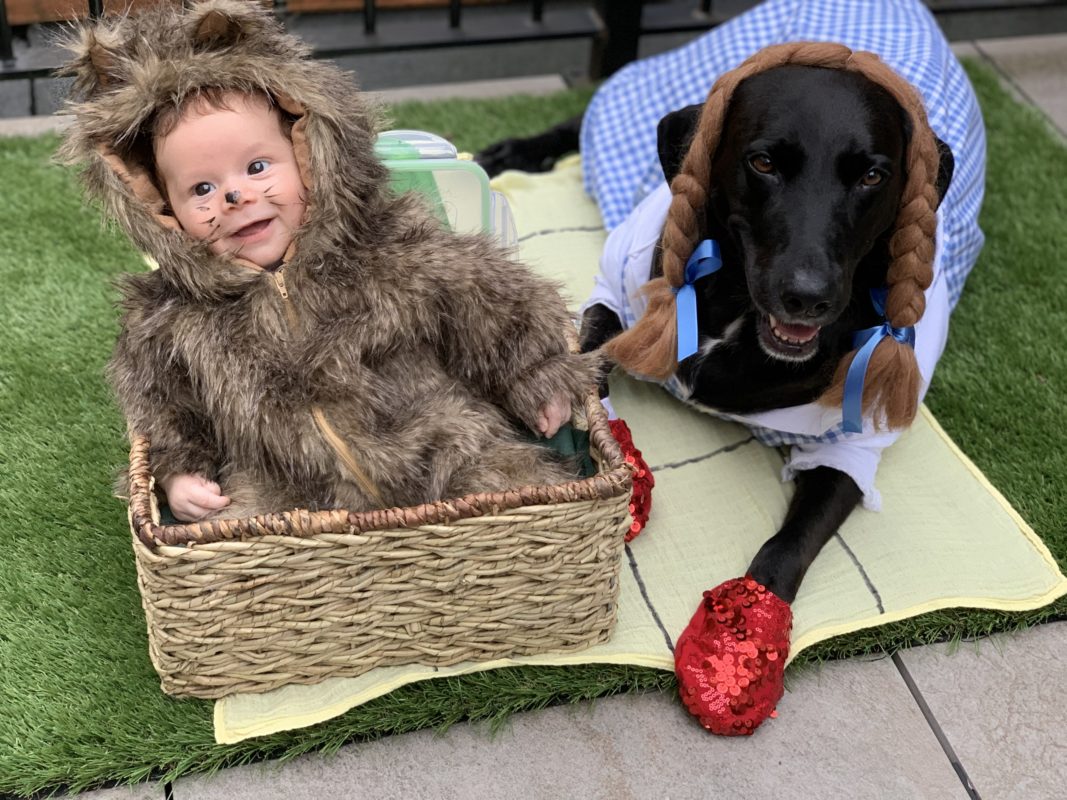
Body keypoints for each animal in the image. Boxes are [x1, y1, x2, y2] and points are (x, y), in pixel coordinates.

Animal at [480, 65, 956, 605]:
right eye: (763, 162)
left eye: (872, 177)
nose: (807, 297)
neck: (739, 307)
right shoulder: (616, 284)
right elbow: (590, 356)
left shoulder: (852, 445)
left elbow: (794, 539)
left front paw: (752, 607)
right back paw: (513, 151)